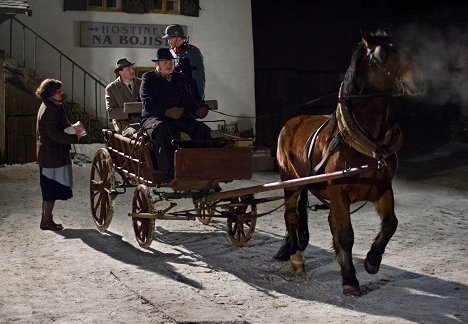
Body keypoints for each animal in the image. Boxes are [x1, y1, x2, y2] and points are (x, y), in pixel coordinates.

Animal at [276, 30, 426, 296]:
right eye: (382, 55)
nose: (418, 81)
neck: (366, 141)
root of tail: (290, 122)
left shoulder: (382, 188)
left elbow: (390, 223)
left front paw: (372, 261)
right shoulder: (338, 191)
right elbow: (346, 233)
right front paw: (350, 280)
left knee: (328, 220)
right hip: (291, 183)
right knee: (291, 216)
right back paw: (296, 258)